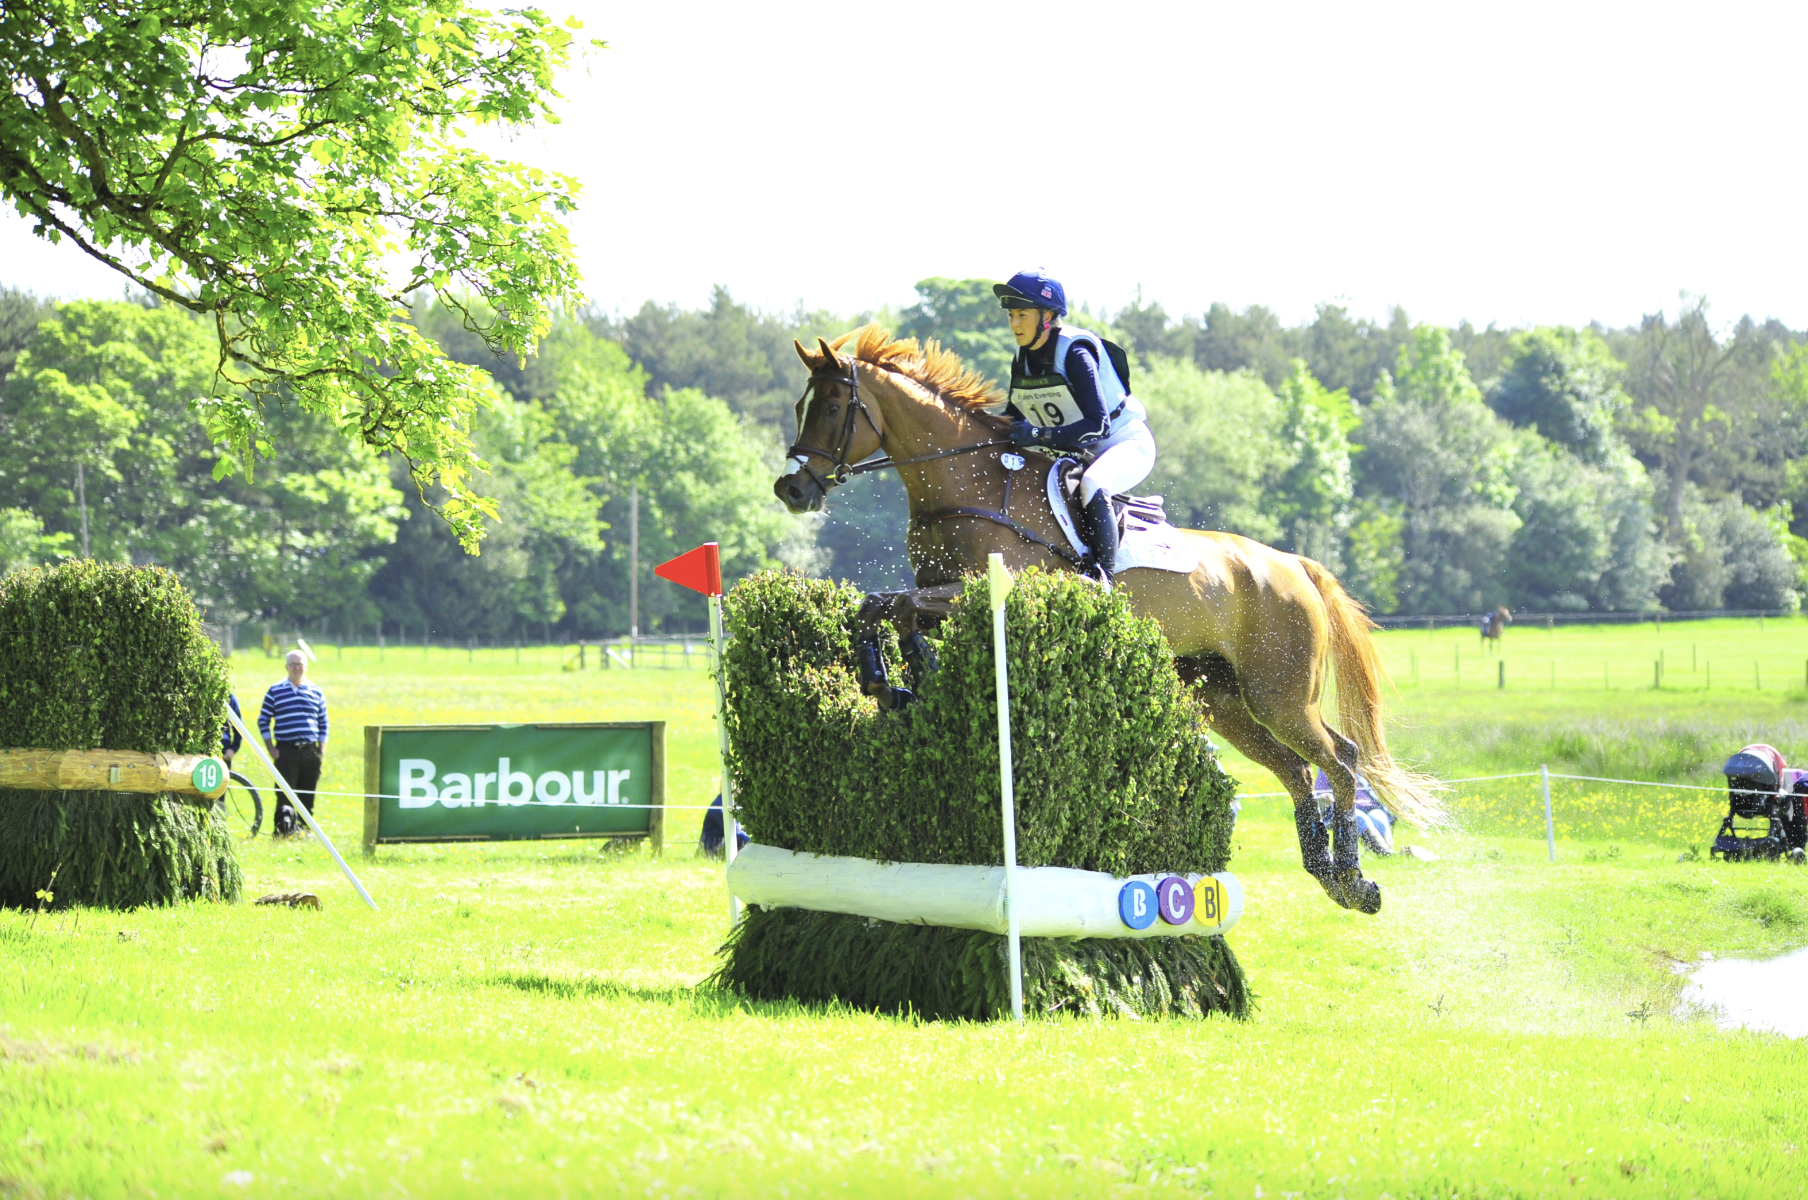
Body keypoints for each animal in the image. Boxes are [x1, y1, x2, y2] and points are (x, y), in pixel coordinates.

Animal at [772, 327, 1442, 914]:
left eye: (831, 408)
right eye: (804, 405)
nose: (791, 489)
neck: (968, 484)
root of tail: (1292, 565)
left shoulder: (990, 593)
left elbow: (903, 607)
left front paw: (905, 676)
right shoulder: (937, 593)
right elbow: (880, 606)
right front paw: (890, 681)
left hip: (1278, 693)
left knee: (1340, 759)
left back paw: (1356, 881)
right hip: (1223, 699)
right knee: (1299, 769)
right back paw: (1329, 875)